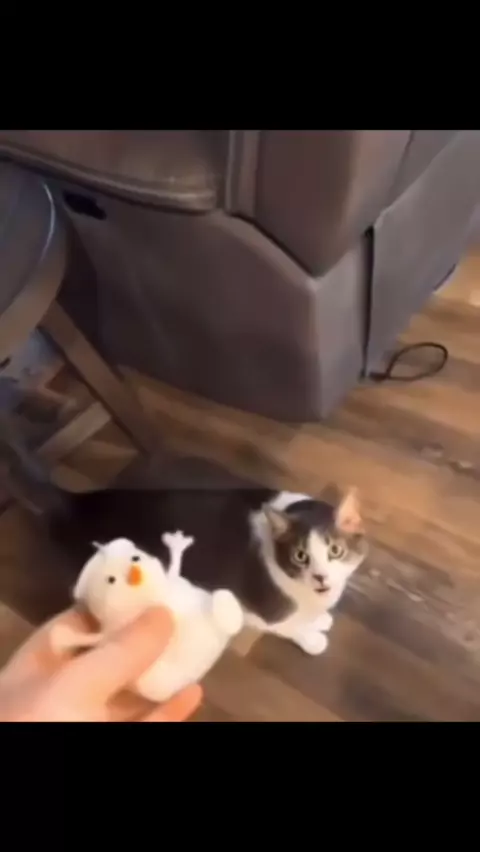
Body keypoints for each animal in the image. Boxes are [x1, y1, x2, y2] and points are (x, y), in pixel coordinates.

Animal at [45, 482, 367, 656]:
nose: (321, 576)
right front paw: (312, 637)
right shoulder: (260, 607)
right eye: (300, 556)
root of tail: (79, 503)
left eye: (335, 551)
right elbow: (285, 625)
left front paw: (319, 618)